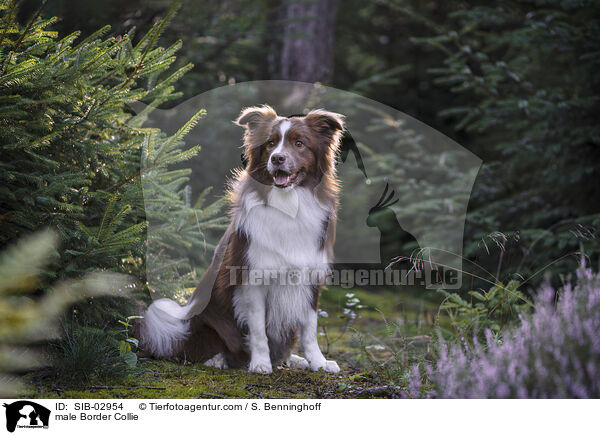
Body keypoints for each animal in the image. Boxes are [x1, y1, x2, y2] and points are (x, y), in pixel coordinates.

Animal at [140, 106, 344, 374]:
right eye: (270, 144)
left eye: (299, 143)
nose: (277, 158)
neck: (288, 204)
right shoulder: (251, 280)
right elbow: (258, 331)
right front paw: (260, 364)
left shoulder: (311, 278)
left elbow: (310, 328)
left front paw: (318, 362)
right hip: (203, 323)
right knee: (196, 348)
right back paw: (218, 359)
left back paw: (293, 359)